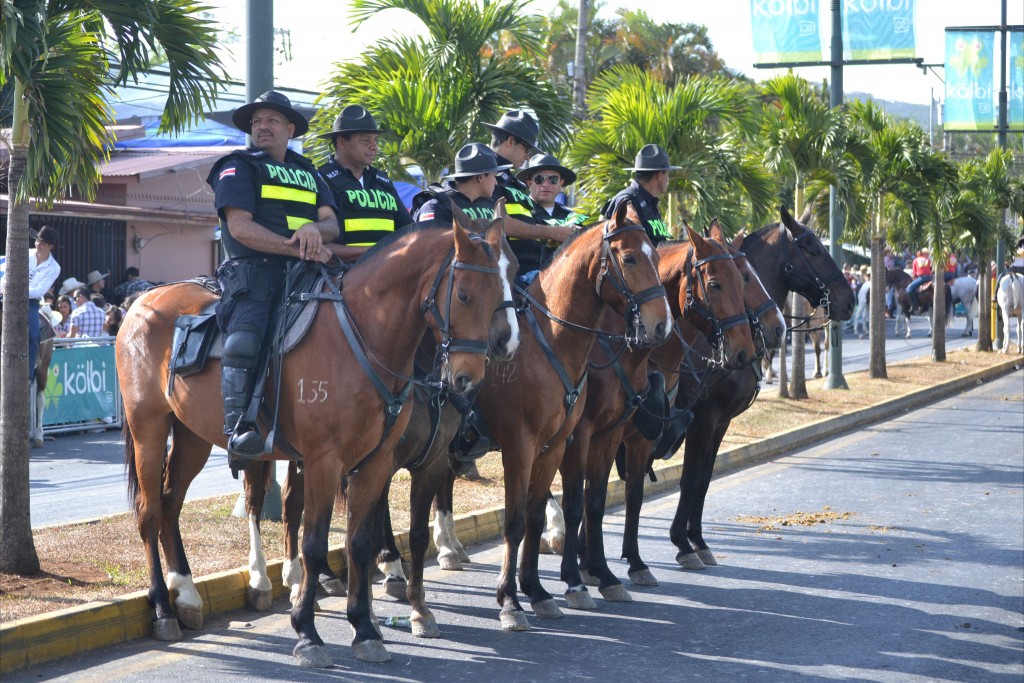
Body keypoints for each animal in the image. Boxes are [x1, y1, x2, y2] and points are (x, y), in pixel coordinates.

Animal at [117, 220, 509, 667]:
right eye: (463, 295)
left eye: (499, 295)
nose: (468, 377)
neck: (363, 334)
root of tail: (144, 299)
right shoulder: (325, 461)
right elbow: (315, 544)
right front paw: (307, 633)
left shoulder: (375, 463)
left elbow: (358, 542)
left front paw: (364, 628)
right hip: (148, 428)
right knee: (149, 512)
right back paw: (164, 608)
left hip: (192, 436)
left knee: (170, 505)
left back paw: (186, 594)